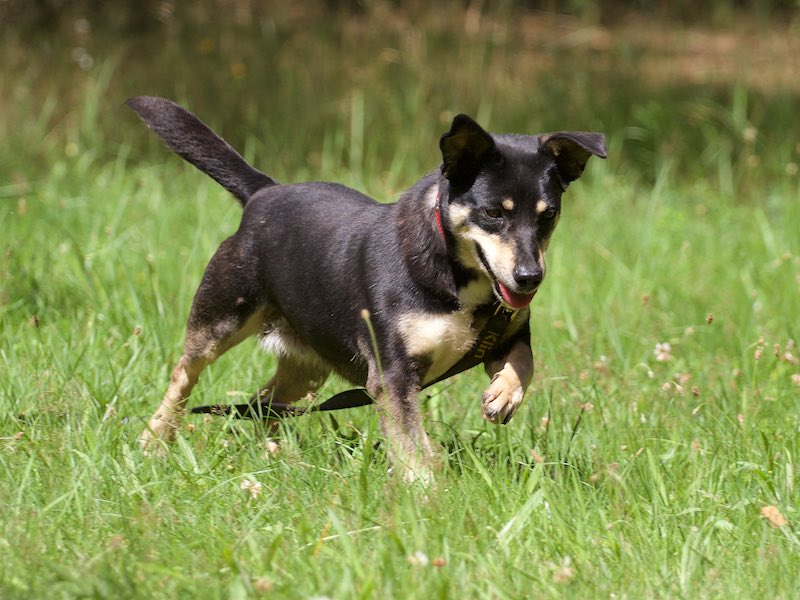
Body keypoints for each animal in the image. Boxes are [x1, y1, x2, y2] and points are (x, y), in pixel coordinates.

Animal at [128, 96, 606, 482]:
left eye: (548, 215)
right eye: (493, 213)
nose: (530, 277)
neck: (455, 276)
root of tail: (264, 194)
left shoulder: (508, 333)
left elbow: (524, 363)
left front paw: (503, 396)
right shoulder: (392, 376)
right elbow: (410, 442)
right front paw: (425, 491)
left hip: (307, 366)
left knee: (265, 403)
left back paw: (276, 455)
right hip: (222, 315)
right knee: (185, 375)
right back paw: (154, 438)